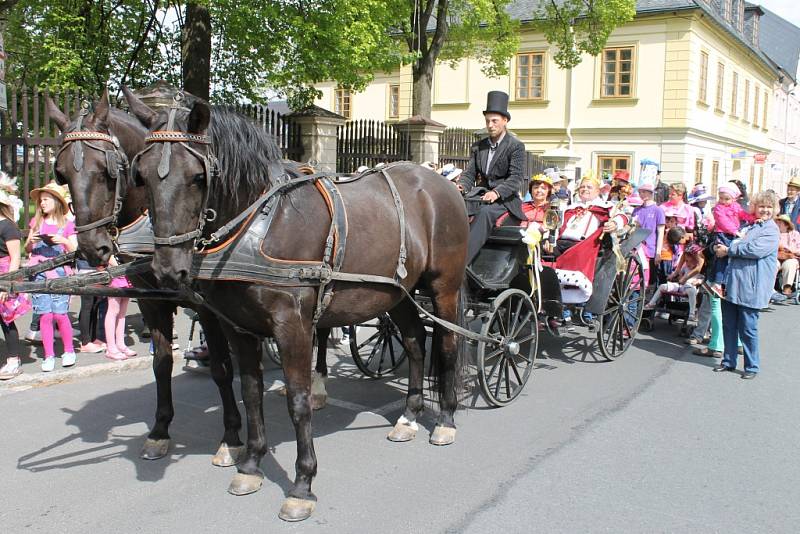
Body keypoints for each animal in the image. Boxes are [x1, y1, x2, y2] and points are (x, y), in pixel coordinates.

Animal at [45, 92, 245, 468]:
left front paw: (231, 436)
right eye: (61, 174)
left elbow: (222, 368)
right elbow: (161, 363)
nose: (93, 248)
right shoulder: (153, 301)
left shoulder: (208, 308)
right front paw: (159, 431)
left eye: (106, 172)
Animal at [123, 89, 468, 524]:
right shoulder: (239, 328)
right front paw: (251, 464)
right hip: (398, 294)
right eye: (141, 175)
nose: (168, 270)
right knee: (414, 342)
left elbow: (299, 401)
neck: (261, 224)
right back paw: (409, 415)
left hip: (444, 289)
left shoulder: (293, 327)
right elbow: (251, 392)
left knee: (447, 346)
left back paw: (446, 420)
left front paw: (303, 484)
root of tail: (440, 183)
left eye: (198, 176)